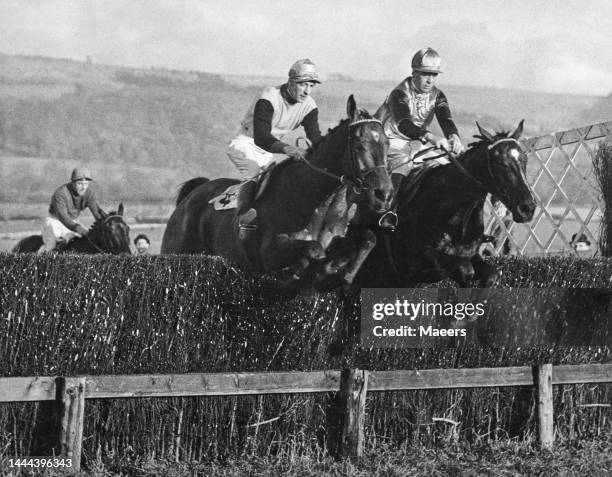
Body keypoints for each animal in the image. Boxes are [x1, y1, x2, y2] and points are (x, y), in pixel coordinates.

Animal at [160, 95, 394, 284]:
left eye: (387, 145)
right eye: (358, 145)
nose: (384, 194)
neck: (315, 199)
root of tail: (192, 195)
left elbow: (368, 238)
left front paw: (343, 273)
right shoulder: (269, 252)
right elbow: (313, 249)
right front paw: (314, 268)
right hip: (175, 250)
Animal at [354, 121, 536, 288]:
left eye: (524, 159)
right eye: (499, 162)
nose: (527, 208)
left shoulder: (471, 255)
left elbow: (492, 274)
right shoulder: (416, 261)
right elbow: (465, 270)